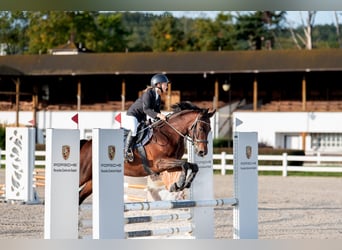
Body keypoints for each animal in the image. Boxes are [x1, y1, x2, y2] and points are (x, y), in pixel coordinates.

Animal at [79, 102, 215, 205]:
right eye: (201, 128)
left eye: (209, 130)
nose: (202, 152)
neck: (169, 133)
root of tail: (86, 143)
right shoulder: (159, 163)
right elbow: (185, 164)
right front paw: (180, 184)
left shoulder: (170, 163)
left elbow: (191, 166)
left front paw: (182, 184)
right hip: (84, 175)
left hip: (91, 182)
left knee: (80, 196)